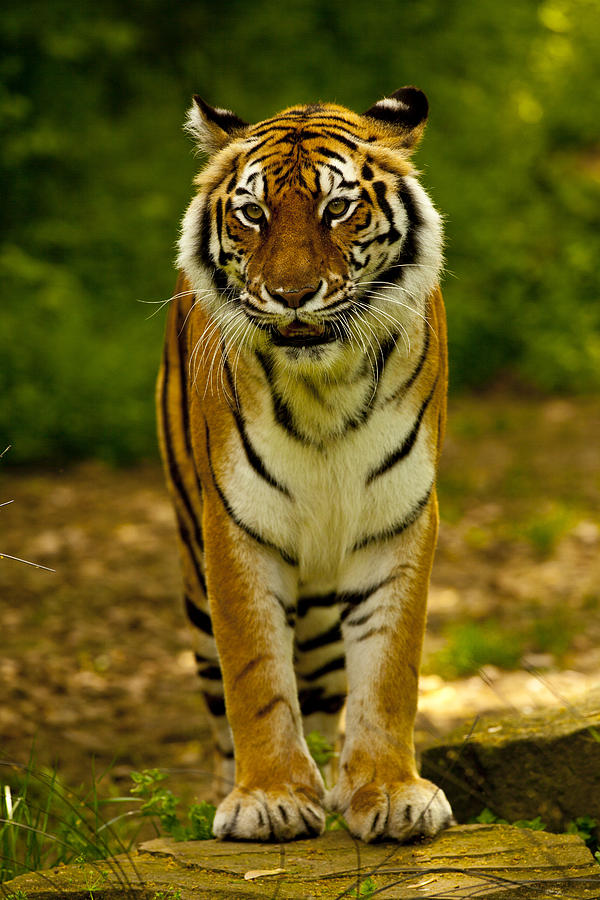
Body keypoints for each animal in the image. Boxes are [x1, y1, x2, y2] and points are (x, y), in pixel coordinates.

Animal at [157, 86, 452, 844]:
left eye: (337, 209)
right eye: (252, 214)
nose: (292, 295)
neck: (326, 387)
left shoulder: (398, 520)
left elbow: (388, 671)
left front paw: (387, 791)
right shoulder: (237, 528)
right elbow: (256, 676)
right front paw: (268, 798)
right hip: (193, 571)